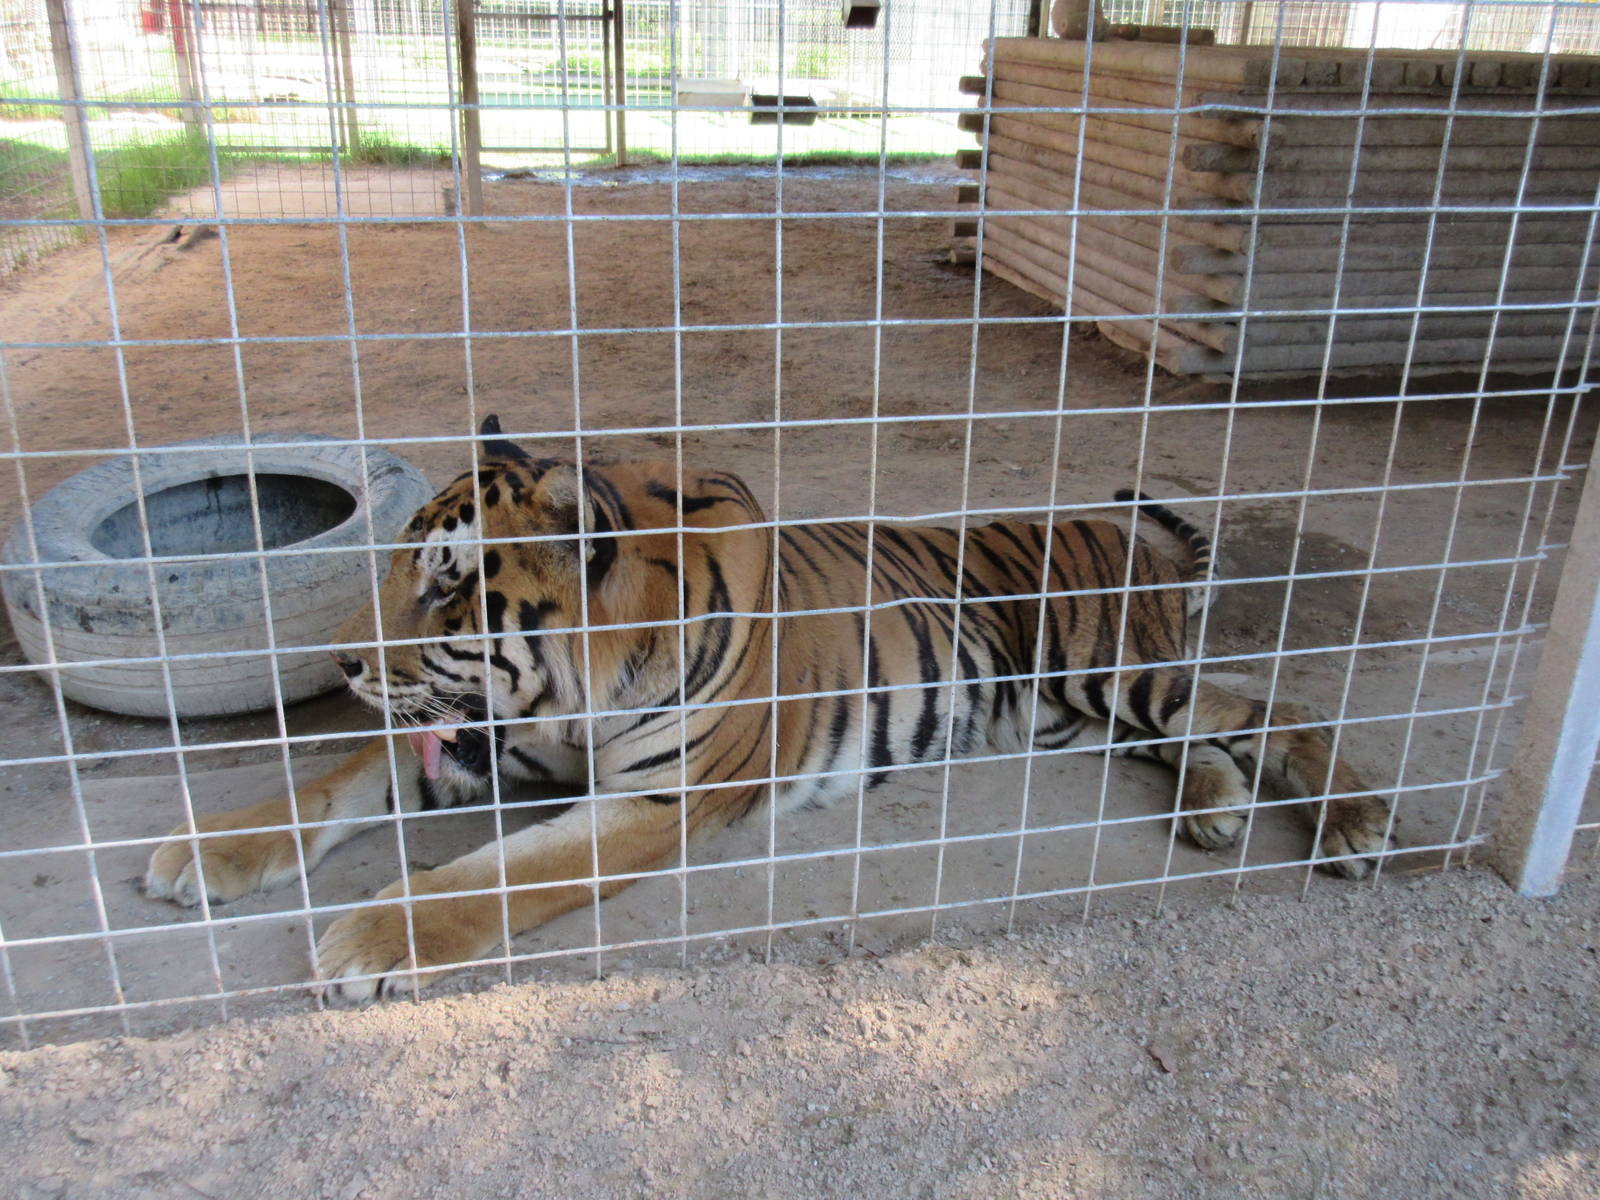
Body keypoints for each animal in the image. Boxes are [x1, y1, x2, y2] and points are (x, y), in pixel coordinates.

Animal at [145, 414, 1394, 1000]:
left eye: (448, 582)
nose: (346, 663)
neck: (574, 691)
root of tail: (1129, 542)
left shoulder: (655, 803)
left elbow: (489, 878)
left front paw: (368, 936)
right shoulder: (492, 747)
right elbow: (331, 783)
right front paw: (201, 850)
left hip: (1112, 672)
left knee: (1276, 708)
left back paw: (1354, 825)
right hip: (1062, 713)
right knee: (1193, 740)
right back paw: (1214, 810)